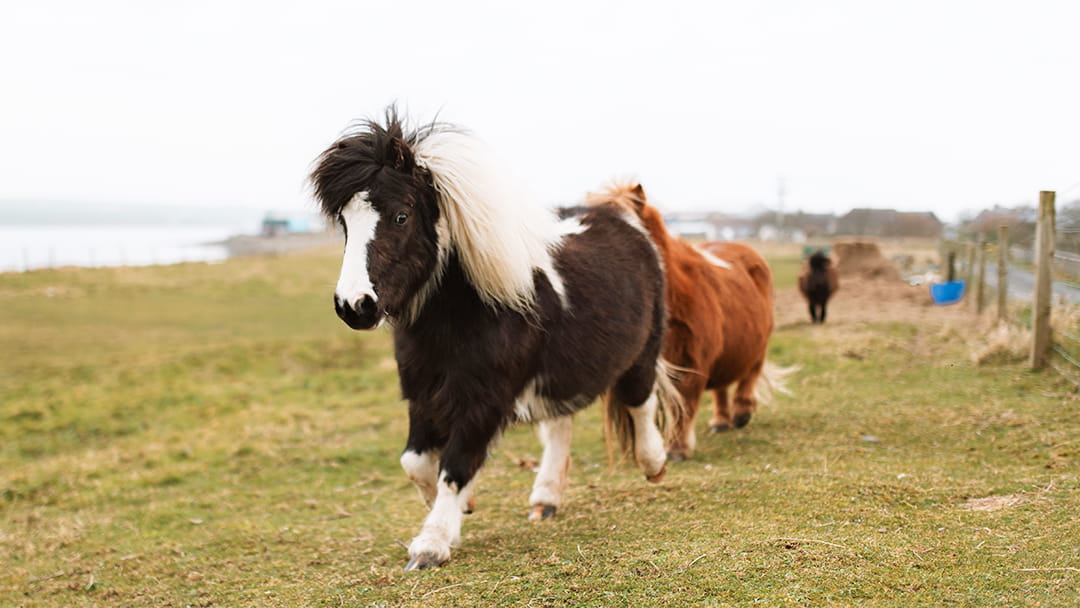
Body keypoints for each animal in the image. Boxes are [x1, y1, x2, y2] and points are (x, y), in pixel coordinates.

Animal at [310, 109, 682, 571]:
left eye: (401, 215)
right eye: (345, 222)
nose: (354, 306)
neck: (464, 313)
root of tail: (619, 213)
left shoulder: (484, 397)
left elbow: (454, 465)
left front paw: (431, 543)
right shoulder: (423, 393)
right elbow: (415, 461)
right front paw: (459, 511)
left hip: (642, 351)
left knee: (640, 401)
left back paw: (654, 464)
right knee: (560, 425)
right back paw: (545, 500)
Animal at [586, 182, 786, 461]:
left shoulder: (692, 361)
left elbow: (684, 404)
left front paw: (677, 449)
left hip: (759, 339)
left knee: (751, 372)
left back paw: (742, 412)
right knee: (722, 385)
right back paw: (721, 421)